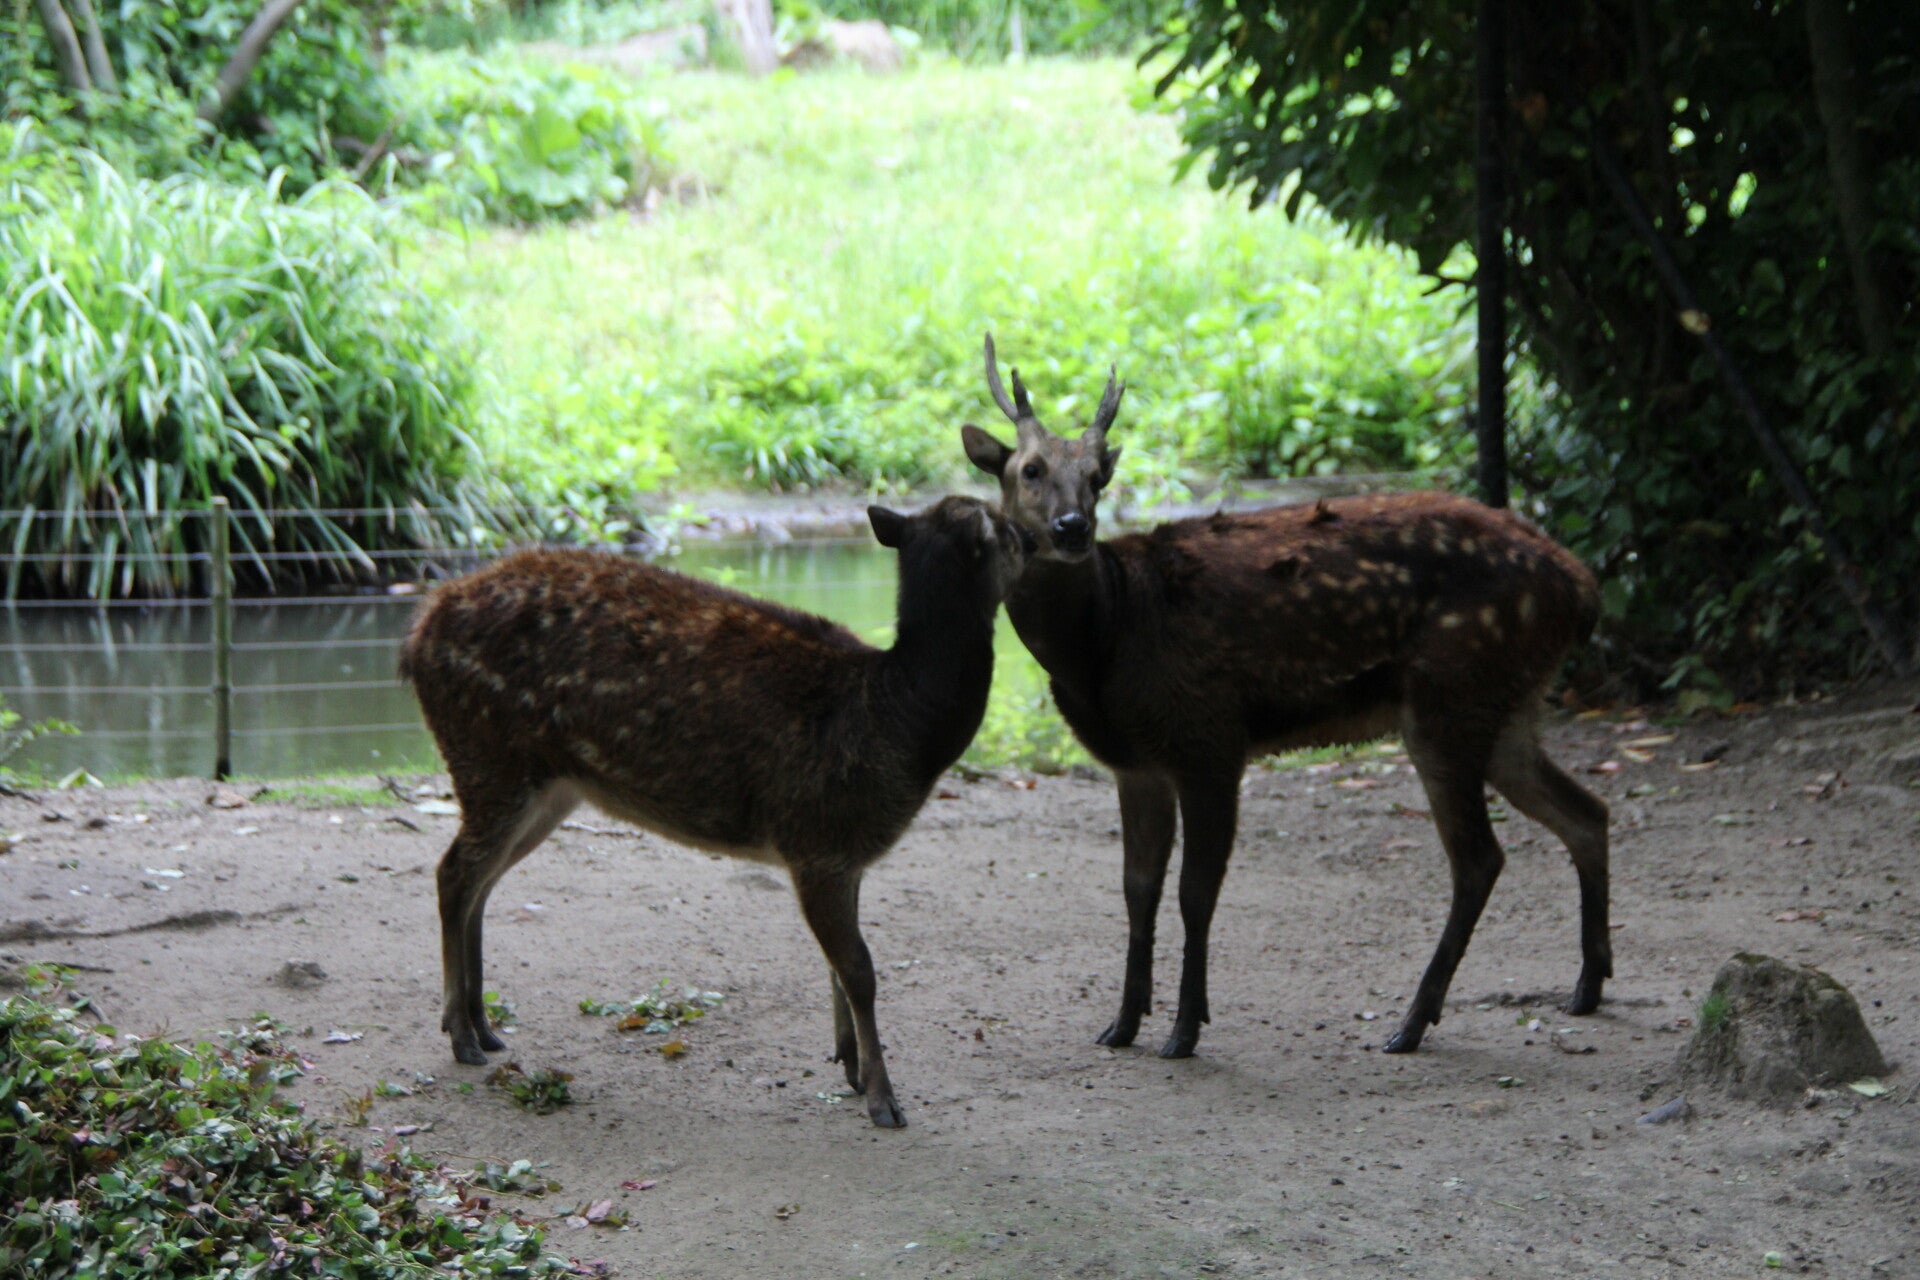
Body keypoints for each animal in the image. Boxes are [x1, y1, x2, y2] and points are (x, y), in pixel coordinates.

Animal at [398, 495, 1032, 1128]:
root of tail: (416, 639)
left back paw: (483, 1026)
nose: (1043, 533)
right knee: (454, 873)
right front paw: (883, 1099)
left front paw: (849, 1066)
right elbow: (860, 970)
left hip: (546, 788)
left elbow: (838, 966)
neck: (899, 720)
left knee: (479, 883)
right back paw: (462, 1036)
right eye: (1007, 528)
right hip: (488, 759)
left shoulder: (845, 856)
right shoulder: (817, 838)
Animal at [961, 335, 1610, 1060]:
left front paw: (1185, 1029)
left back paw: (1411, 1023)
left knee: (1479, 858)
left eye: (1099, 474)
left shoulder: (1209, 735)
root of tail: (1581, 588)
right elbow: (1137, 889)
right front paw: (1121, 1025)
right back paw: (1586, 986)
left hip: (1450, 695)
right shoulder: (1136, 763)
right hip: (1507, 709)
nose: (1073, 527)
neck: (1105, 639)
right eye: (1031, 469)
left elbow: (1195, 892)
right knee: (1589, 812)